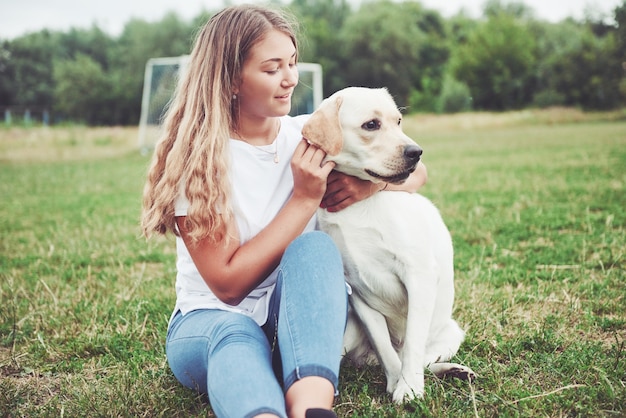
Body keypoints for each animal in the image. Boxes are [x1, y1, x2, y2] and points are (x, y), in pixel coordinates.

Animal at [302, 86, 472, 404]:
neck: (358, 208)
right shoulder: (356, 291)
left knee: (424, 359)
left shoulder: (419, 275)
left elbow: (413, 344)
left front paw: (410, 388)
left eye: (399, 121)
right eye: (371, 125)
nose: (416, 152)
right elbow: (385, 347)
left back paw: (454, 370)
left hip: (451, 333)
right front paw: (396, 383)